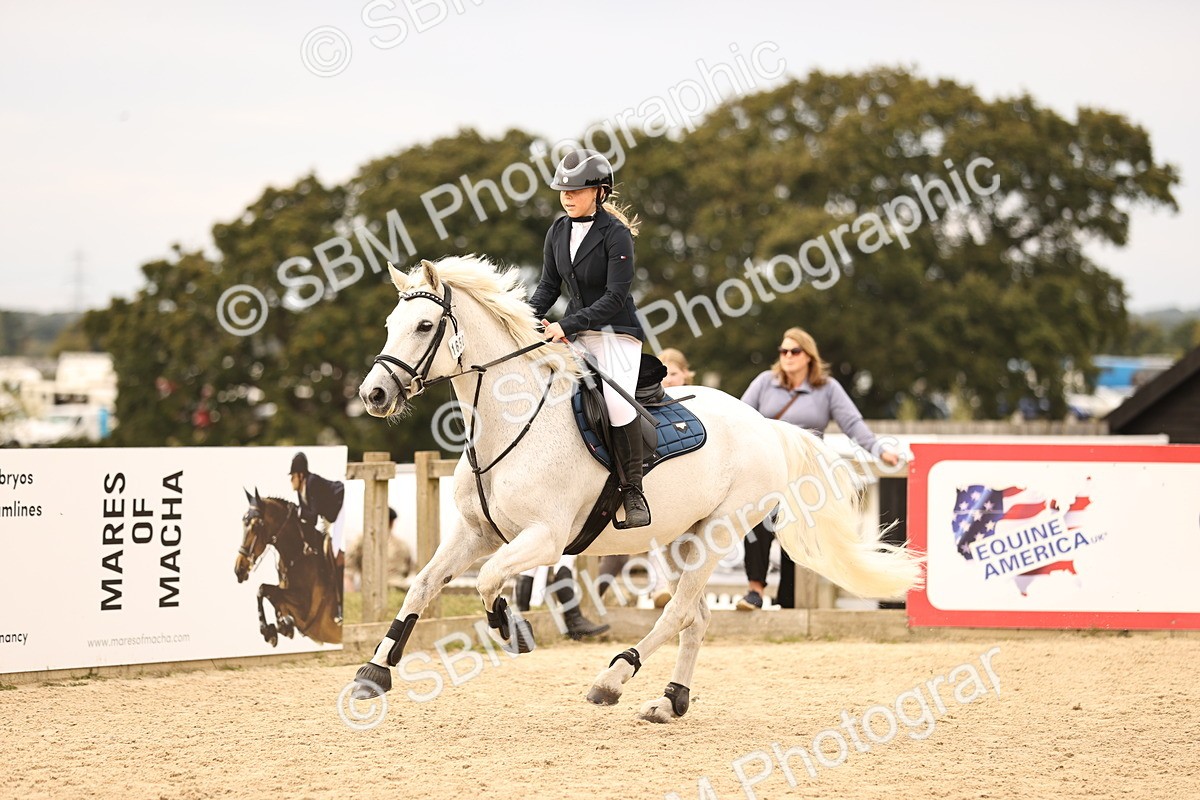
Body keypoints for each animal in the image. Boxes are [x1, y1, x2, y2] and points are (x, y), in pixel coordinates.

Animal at [234, 489, 342, 646]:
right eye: (243, 522)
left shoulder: (304, 608)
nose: (239, 569)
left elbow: (265, 590)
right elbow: (267, 593)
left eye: (257, 525)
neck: (297, 556)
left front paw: (270, 630)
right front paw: (281, 627)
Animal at [349, 255, 922, 722]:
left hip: (719, 531)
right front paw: (374, 673)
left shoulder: (543, 539)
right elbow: (424, 584)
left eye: (425, 325)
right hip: (678, 538)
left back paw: (612, 679)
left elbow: (490, 581)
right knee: (697, 615)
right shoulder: (477, 532)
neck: (509, 420)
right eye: (390, 325)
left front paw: (508, 627)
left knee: (678, 611)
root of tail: (765, 424)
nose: (373, 394)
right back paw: (670, 701)